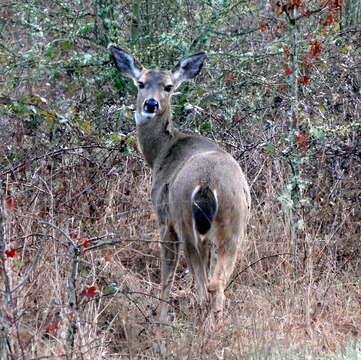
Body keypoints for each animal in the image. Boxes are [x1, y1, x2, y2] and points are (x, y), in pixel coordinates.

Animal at [110, 46, 250, 322]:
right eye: (141, 83)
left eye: (168, 86)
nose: (150, 104)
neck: (162, 152)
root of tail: (208, 183)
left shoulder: (165, 219)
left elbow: (168, 272)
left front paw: (161, 318)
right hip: (234, 223)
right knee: (217, 282)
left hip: (186, 220)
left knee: (204, 285)